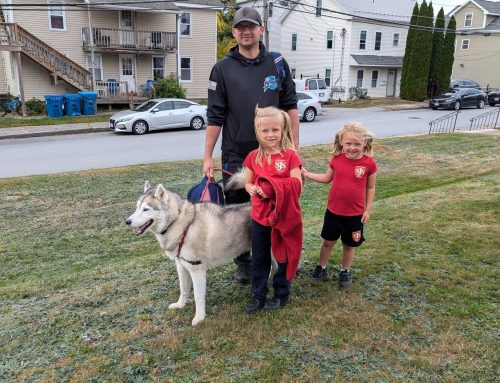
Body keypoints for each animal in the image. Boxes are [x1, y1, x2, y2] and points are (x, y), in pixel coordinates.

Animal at [125, 178, 250, 326]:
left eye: (146, 209)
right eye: (137, 208)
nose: (127, 221)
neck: (182, 224)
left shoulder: (196, 268)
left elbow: (197, 296)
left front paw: (199, 317)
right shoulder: (181, 266)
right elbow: (183, 289)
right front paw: (180, 305)